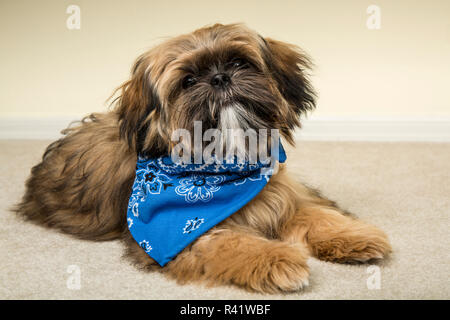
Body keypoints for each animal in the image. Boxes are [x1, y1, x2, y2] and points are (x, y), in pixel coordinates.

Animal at [15, 23, 390, 292]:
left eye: (238, 62)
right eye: (188, 81)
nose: (220, 78)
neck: (226, 167)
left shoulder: (281, 194)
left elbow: (317, 214)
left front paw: (354, 237)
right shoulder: (182, 236)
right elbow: (234, 243)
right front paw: (277, 260)